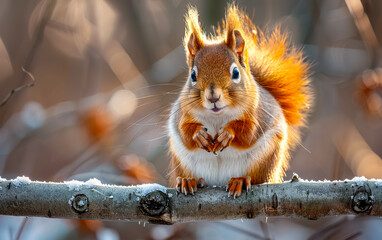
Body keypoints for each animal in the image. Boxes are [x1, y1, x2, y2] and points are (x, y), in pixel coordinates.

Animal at [169, 4, 312, 199]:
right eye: (192, 75)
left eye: (236, 73)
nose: (213, 97)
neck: (217, 116)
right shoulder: (183, 113)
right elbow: (184, 131)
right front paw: (198, 134)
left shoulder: (257, 113)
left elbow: (249, 132)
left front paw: (228, 133)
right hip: (182, 162)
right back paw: (189, 180)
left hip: (264, 158)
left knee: (255, 177)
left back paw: (240, 180)